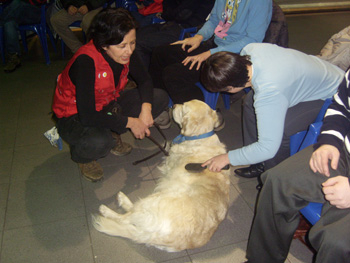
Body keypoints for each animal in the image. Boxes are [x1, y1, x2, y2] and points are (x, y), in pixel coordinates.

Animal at [91, 100, 231, 253]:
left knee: (126, 217)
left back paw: (110, 207)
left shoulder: (170, 161)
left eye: (183, 108)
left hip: (153, 200)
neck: (201, 136)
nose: (173, 105)